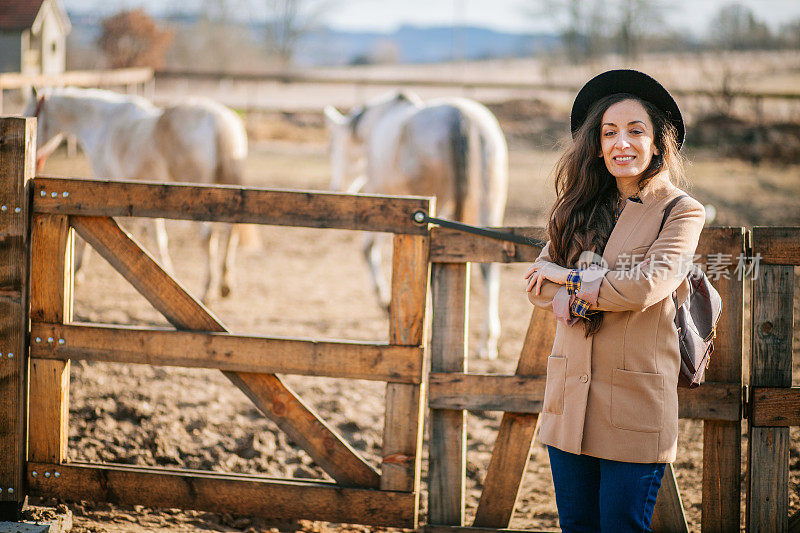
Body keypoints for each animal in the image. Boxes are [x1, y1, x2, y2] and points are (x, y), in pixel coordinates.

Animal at [23, 87, 250, 304]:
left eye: (32, 113)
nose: (36, 159)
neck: (103, 124)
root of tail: (220, 122)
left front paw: (78, 273)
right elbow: (157, 237)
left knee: (207, 238)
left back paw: (207, 290)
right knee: (231, 232)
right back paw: (225, 285)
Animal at [326, 91, 510, 360]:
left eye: (332, 147)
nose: (336, 186)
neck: (374, 123)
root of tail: (460, 117)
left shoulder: (385, 197)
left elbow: (368, 248)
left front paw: (385, 301)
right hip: (489, 202)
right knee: (489, 269)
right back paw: (487, 341)